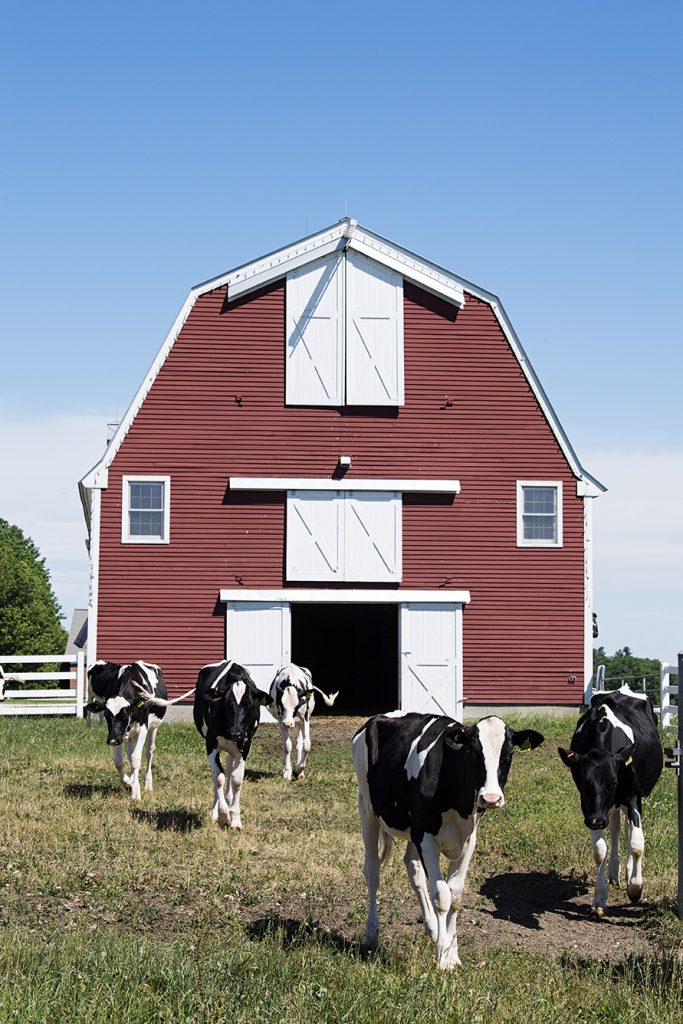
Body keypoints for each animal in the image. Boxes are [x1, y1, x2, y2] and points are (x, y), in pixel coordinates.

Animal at [83, 659, 167, 802]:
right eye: (107, 716)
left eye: (123, 716)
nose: (112, 740)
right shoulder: (118, 734)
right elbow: (118, 761)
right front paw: (128, 783)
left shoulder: (143, 727)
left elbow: (137, 758)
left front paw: (136, 793)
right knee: (129, 753)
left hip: (153, 728)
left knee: (149, 752)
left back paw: (148, 784)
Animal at [192, 659, 270, 827]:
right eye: (226, 703)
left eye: (249, 704)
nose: (235, 732)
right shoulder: (211, 742)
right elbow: (218, 777)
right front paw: (222, 815)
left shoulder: (245, 745)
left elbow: (236, 780)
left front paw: (235, 819)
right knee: (219, 775)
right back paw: (216, 809)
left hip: (234, 748)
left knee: (229, 766)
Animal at [352, 712, 544, 966]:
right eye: (473, 753)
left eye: (508, 754)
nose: (491, 798)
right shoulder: (426, 837)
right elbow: (441, 895)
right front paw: (442, 957)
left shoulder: (468, 839)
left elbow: (455, 895)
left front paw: (452, 953)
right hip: (368, 809)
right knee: (372, 872)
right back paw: (372, 933)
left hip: (410, 828)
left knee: (413, 868)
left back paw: (433, 928)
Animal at [561, 684, 663, 917]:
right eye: (583, 781)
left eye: (613, 781)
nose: (597, 821)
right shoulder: (589, 807)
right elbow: (600, 851)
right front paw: (599, 898)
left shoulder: (633, 797)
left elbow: (637, 844)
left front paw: (635, 888)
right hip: (612, 807)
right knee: (616, 828)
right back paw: (614, 873)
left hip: (626, 802)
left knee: (627, 831)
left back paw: (627, 872)